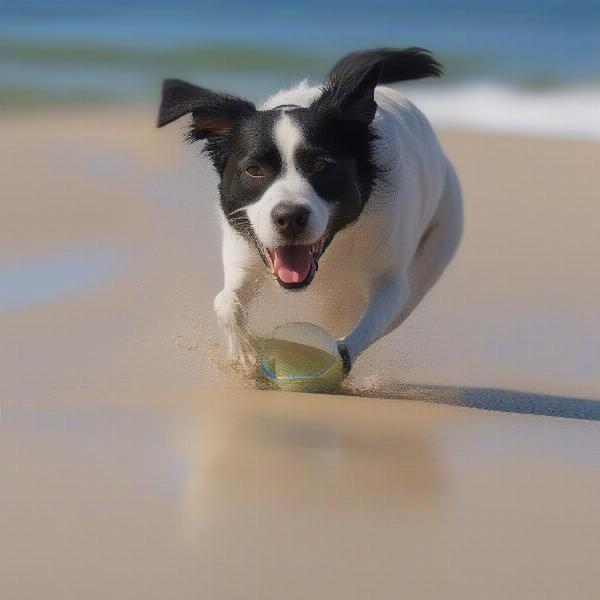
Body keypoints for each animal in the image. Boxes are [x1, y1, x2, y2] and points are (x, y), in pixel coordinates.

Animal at [157, 48, 462, 376]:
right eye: (254, 170)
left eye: (320, 165)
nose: (290, 217)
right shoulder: (245, 253)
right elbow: (225, 300)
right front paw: (243, 355)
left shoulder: (390, 277)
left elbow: (367, 325)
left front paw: (339, 357)